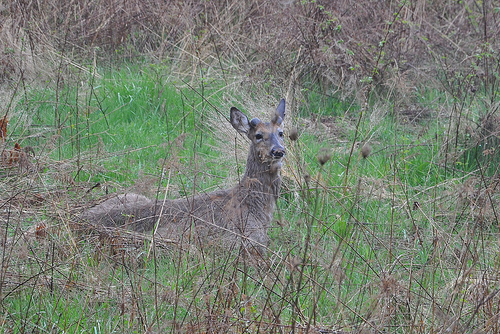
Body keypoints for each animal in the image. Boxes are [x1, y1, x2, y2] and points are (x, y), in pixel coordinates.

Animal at [81, 98, 286, 254]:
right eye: (258, 135)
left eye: (281, 133)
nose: (278, 151)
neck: (256, 206)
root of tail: (81, 217)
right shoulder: (241, 240)